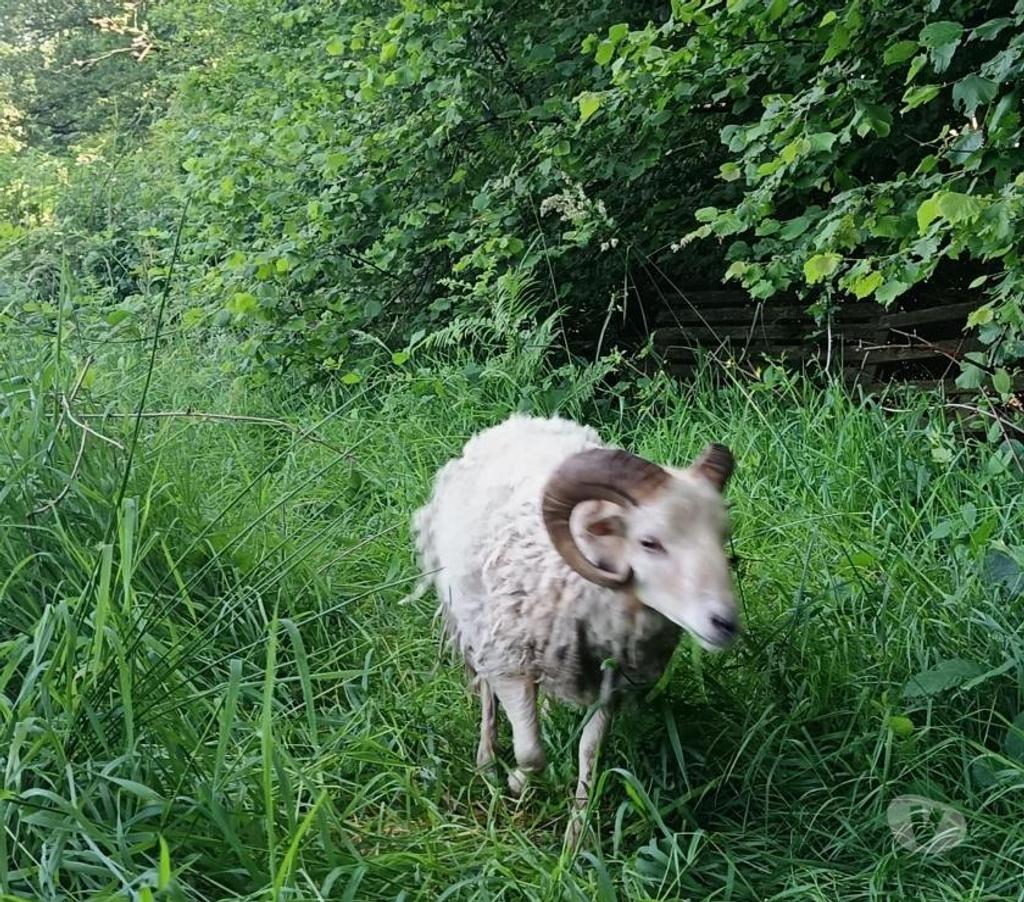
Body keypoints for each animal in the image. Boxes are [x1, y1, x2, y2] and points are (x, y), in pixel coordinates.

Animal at [407, 412, 738, 832]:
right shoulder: (509, 664)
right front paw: (517, 781)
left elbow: (590, 754)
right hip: (473, 619)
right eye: (649, 542)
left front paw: (578, 834)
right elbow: (530, 752)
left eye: (722, 536)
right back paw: (486, 761)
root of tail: (520, 420)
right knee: (485, 693)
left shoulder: (611, 683)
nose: (725, 623)